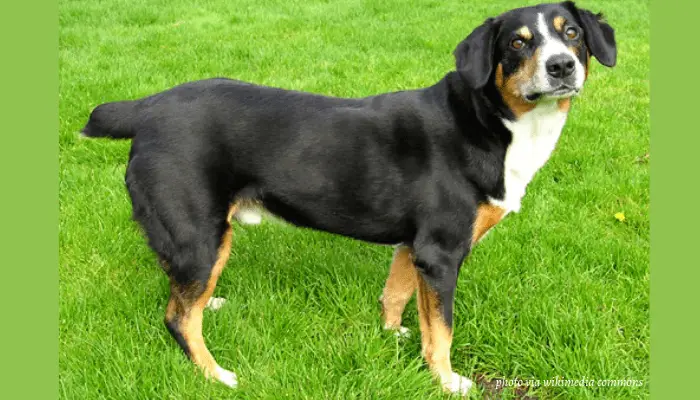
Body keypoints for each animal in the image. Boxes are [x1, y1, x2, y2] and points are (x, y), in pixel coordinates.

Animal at [82, 1, 616, 396]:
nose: (562, 65)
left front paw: (393, 335)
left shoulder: (414, 247)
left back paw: (209, 303)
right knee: (177, 317)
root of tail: (148, 107)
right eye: (518, 43)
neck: (491, 123)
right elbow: (441, 330)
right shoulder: (441, 253)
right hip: (198, 233)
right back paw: (216, 374)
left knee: (181, 291)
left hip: (200, 237)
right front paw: (447, 381)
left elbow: (398, 294)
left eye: (572, 34)